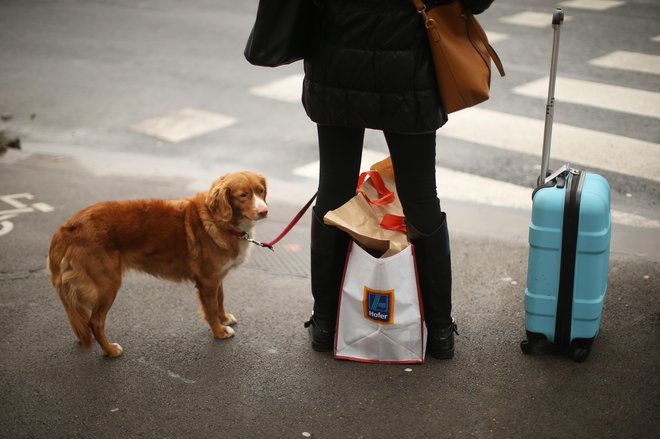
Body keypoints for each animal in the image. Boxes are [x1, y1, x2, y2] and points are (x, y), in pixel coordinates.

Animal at [47, 172, 268, 358]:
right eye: (243, 195)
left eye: (261, 191)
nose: (264, 211)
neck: (219, 220)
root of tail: (66, 229)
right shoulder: (207, 281)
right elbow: (211, 308)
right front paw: (219, 331)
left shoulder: (216, 277)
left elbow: (220, 300)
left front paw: (224, 318)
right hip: (107, 285)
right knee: (95, 321)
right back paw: (110, 350)